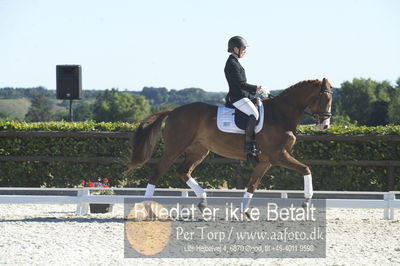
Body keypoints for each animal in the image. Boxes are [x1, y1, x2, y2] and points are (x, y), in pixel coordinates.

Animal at [128, 78, 332, 213]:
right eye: (325, 98)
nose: (324, 125)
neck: (280, 114)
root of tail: (174, 110)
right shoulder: (278, 155)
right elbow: (306, 169)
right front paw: (306, 201)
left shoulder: (266, 160)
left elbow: (253, 184)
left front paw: (244, 211)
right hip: (175, 148)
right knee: (158, 170)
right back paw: (147, 207)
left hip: (199, 150)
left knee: (183, 171)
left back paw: (203, 201)